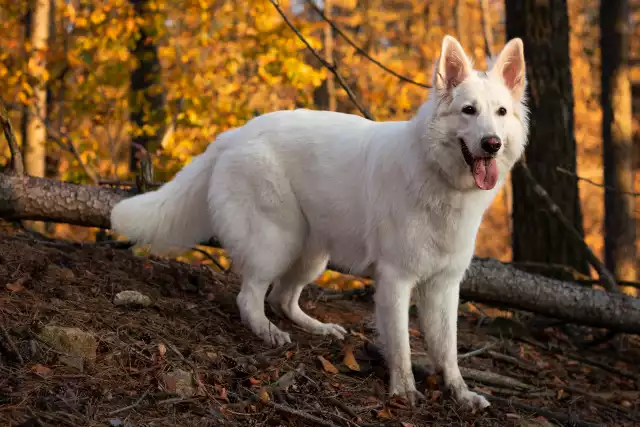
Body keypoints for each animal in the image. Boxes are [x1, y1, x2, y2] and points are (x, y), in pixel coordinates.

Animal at [111, 36, 528, 412]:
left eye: (501, 112)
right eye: (468, 110)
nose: (491, 143)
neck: (439, 176)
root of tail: (234, 134)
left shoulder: (444, 286)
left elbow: (449, 351)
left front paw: (461, 394)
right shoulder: (396, 280)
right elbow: (402, 346)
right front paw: (404, 391)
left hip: (312, 255)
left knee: (281, 297)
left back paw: (318, 328)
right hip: (277, 241)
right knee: (251, 297)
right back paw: (268, 332)